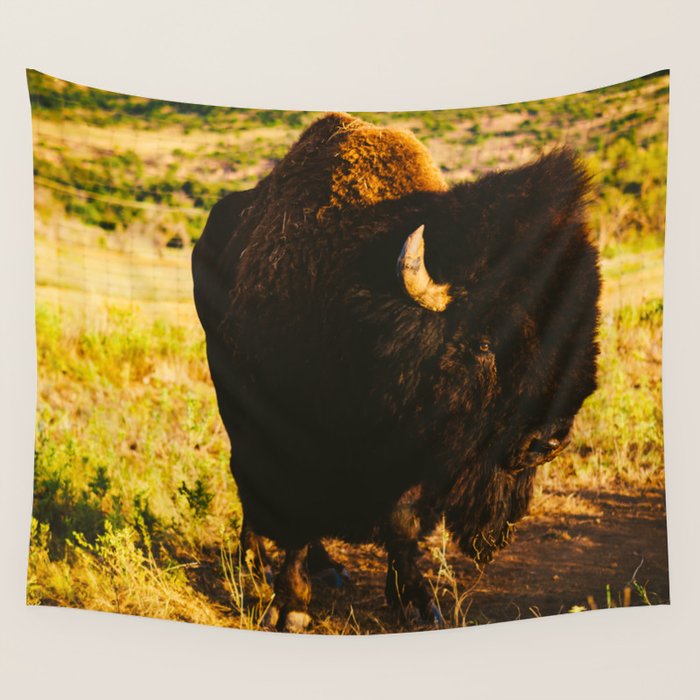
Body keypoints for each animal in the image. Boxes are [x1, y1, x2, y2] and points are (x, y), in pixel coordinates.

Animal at [192, 113, 601, 632]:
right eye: (486, 342)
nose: (546, 442)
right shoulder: (289, 441)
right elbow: (294, 516)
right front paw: (292, 607)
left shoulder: (418, 460)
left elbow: (402, 521)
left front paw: (418, 600)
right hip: (230, 397)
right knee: (246, 481)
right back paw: (256, 562)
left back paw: (327, 568)